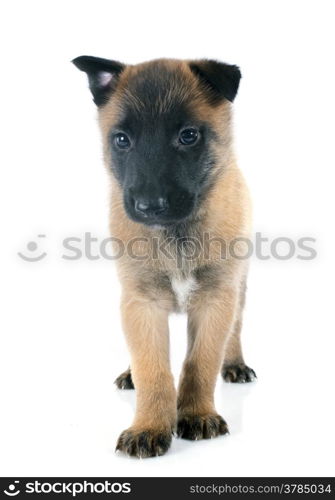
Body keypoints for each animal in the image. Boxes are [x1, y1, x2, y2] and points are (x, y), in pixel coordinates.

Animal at [74, 56, 258, 458]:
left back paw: (235, 364)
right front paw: (149, 427)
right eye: (122, 140)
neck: (175, 235)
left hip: (239, 289)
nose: (149, 206)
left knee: (235, 331)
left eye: (188, 136)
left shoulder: (216, 299)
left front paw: (197, 415)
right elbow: (152, 368)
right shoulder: (140, 303)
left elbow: (200, 362)